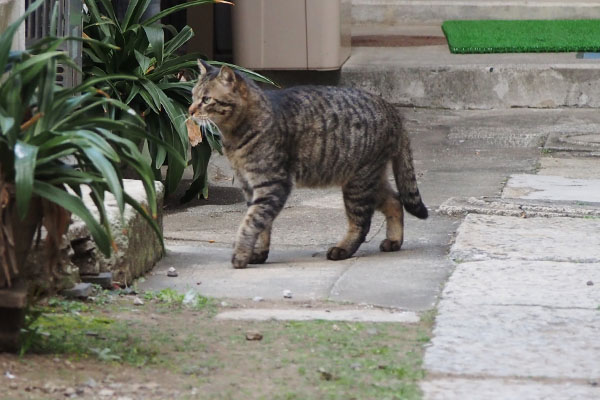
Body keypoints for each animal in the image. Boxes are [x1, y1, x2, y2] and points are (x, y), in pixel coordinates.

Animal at [188, 61, 426, 270]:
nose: (189, 110)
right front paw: (258, 254)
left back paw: (343, 249)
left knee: (361, 223)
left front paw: (240, 255)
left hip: (359, 183)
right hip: (369, 179)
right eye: (192, 96)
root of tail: (392, 109)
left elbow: (251, 222)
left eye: (206, 99)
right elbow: (262, 225)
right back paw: (394, 241)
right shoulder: (250, 186)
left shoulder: (273, 184)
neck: (234, 136)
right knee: (395, 201)